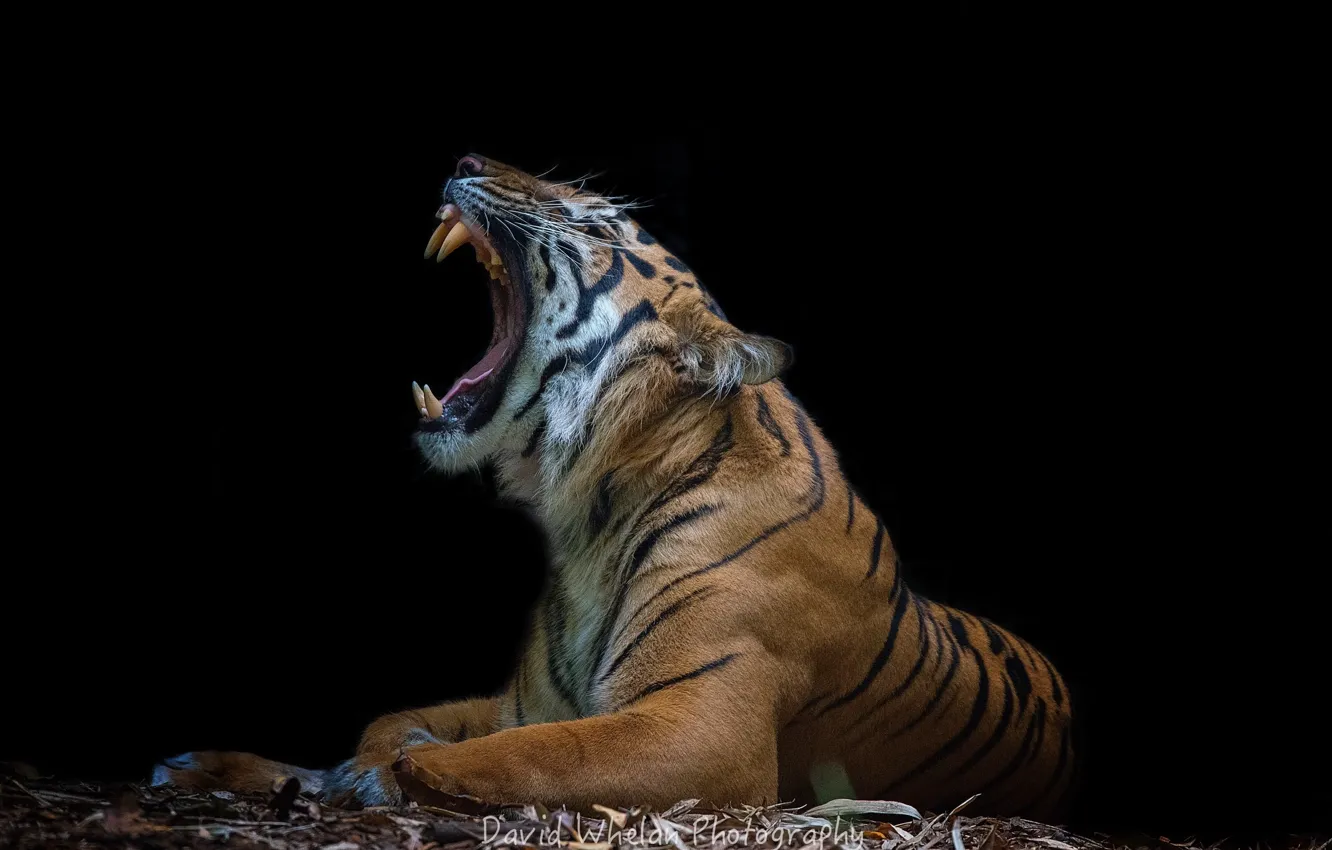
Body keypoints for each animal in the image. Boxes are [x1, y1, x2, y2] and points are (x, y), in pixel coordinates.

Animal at [152, 154, 1077, 821]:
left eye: (593, 221)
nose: (466, 157)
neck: (589, 513)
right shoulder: (523, 698)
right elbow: (388, 721)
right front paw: (355, 762)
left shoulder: (702, 727)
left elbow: (546, 754)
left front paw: (397, 777)